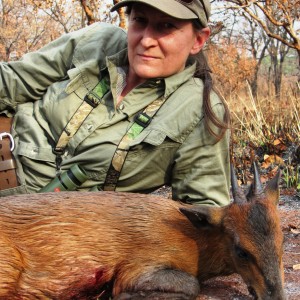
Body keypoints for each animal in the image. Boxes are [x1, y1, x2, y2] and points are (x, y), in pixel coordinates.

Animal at [0, 165, 286, 298]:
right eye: (241, 251)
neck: (194, 243)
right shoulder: (135, 268)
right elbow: (191, 285)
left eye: (282, 243)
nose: (276, 297)